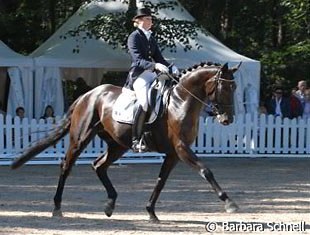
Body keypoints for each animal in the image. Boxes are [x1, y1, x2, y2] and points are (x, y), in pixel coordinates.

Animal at [11, 61, 240, 222]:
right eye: (224, 88)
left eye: (235, 88)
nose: (227, 119)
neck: (180, 101)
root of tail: (86, 95)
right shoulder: (181, 148)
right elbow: (205, 170)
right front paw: (229, 203)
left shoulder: (173, 153)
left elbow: (161, 181)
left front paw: (151, 212)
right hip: (81, 139)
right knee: (66, 166)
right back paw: (57, 208)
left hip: (117, 145)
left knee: (99, 166)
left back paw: (110, 204)